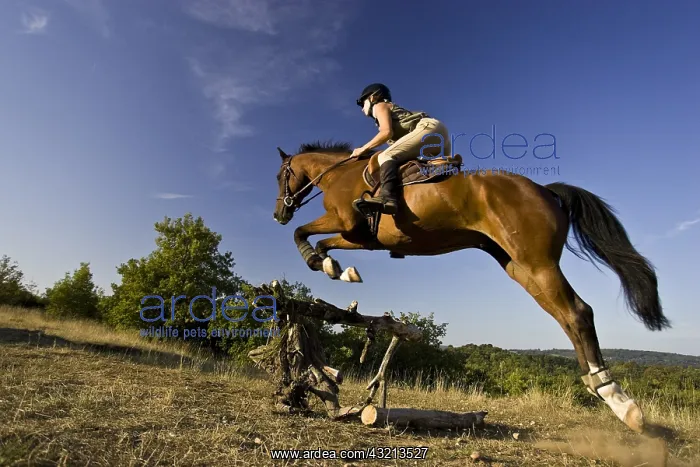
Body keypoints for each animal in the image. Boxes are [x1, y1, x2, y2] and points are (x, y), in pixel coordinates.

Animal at [272, 140, 670, 434]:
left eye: (281, 175)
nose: (279, 213)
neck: (339, 174)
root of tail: (545, 190)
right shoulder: (360, 238)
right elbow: (317, 240)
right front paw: (337, 267)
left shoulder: (348, 225)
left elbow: (304, 234)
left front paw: (326, 265)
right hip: (519, 267)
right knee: (566, 316)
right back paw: (603, 391)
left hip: (537, 263)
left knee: (578, 312)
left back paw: (619, 400)